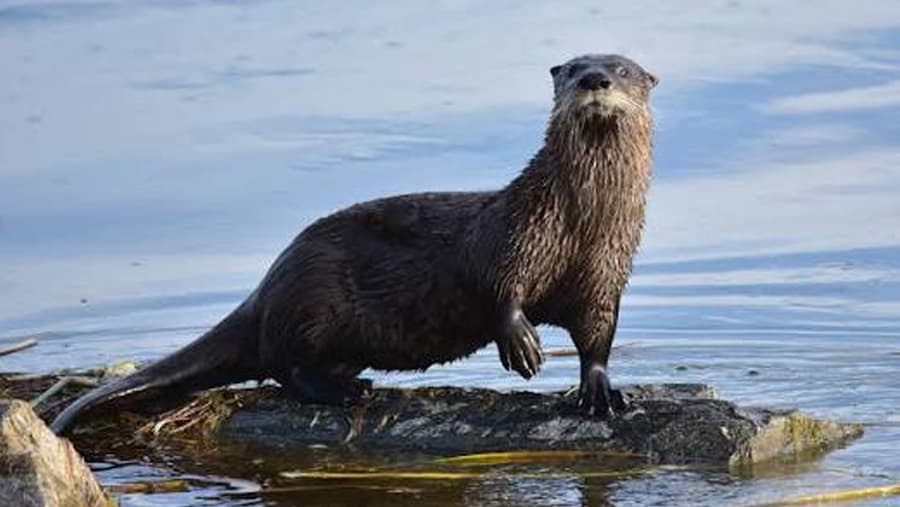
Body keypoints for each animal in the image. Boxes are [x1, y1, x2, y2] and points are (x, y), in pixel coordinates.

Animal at [51, 54, 657, 434]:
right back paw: (347, 390)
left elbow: (598, 334)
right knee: (285, 367)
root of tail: (266, 288)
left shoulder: (605, 270)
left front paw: (601, 390)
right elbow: (496, 286)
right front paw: (522, 343)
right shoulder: (517, 233)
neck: (580, 224)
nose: (595, 79)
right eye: (573, 68)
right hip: (313, 302)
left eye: (622, 69)